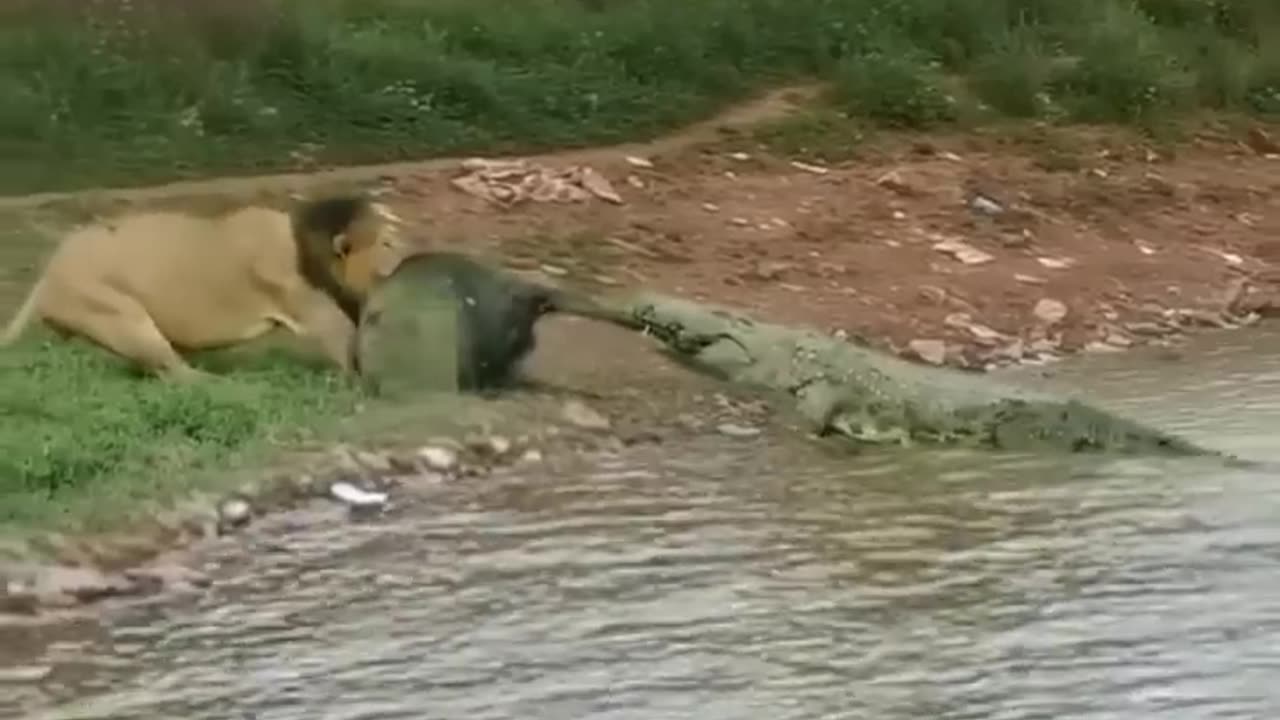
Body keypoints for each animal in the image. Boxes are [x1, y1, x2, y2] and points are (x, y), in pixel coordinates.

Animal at [0, 190, 407, 381]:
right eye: (387, 242)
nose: (407, 252)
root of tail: (47, 274)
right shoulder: (306, 303)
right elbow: (343, 339)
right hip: (120, 315)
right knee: (174, 373)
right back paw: (229, 384)